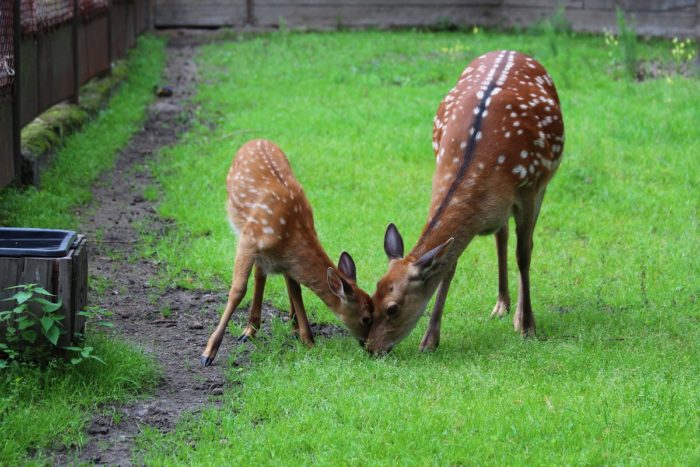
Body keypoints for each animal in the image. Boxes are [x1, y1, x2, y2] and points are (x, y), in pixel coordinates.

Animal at [200, 141, 374, 368]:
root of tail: (256, 140)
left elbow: (295, 290)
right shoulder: (248, 240)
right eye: (366, 318)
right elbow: (238, 291)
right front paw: (208, 352)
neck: (292, 230)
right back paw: (250, 331)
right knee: (259, 276)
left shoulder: (286, 260)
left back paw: (272, 327)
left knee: (266, 276)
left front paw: (307, 339)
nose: (369, 345)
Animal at [366, 51, 564, 352]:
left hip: (543, 183)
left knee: (524, 242)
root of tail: (511, 51)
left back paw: (517, 314)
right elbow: (449, 265)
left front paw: (528, 327)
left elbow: (524, 254)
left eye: (392, 308)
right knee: (501, 235)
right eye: (372, 295)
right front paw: (430, 339)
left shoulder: (527, 191)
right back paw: (501, 304)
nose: (370, 346)